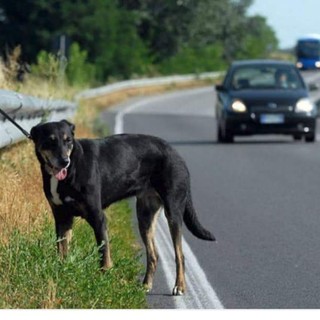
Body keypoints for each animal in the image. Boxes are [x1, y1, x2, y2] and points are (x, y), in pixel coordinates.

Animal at [30, 119, 215, 296]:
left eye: (68, 140)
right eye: (50, 141)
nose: (64, 162)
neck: (72, 167)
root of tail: (175, 152)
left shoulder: (98, 217)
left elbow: (104, 253)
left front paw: (103, 281)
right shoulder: (62, 219)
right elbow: (62, 252)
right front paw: (61, 276)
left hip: (173, 212)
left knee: (180, 255)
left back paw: (179, 287)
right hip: (145, 217)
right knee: (153, 255)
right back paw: (146, 285)